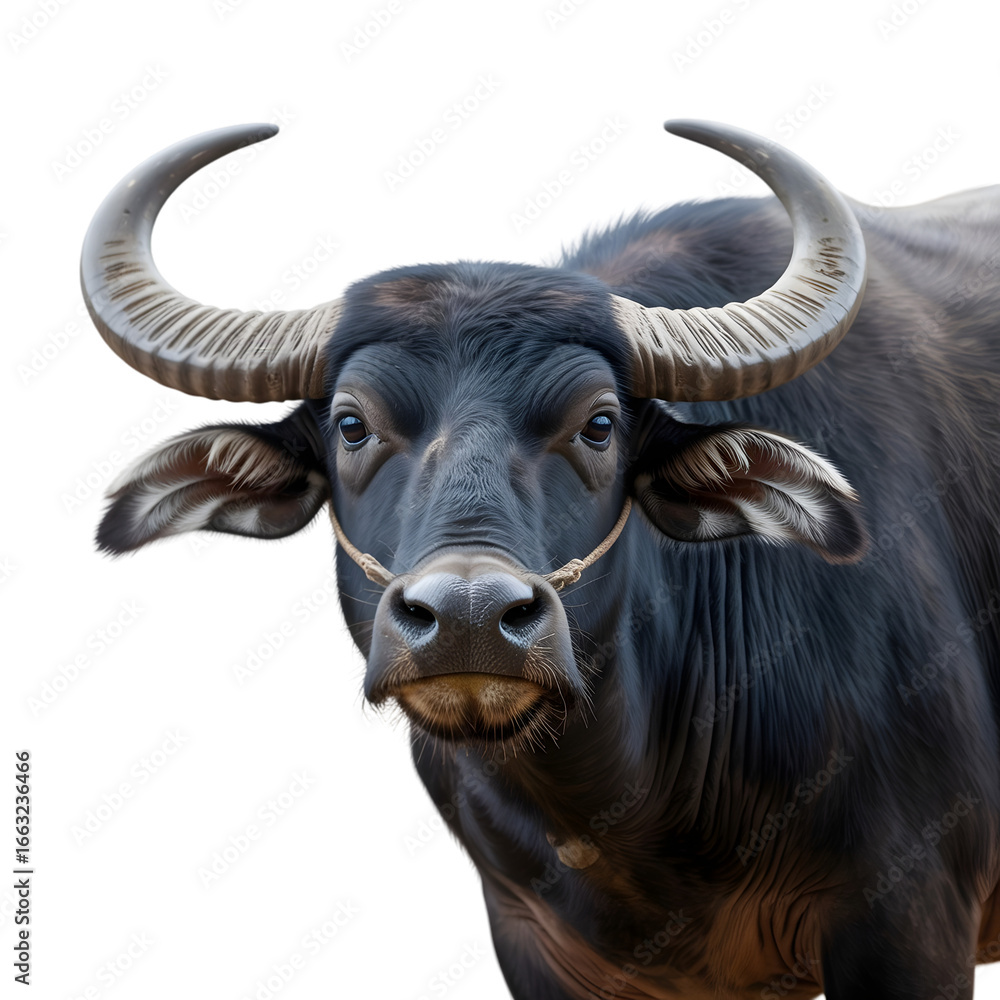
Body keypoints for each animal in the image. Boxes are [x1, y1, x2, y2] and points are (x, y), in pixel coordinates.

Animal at [82, 120, 1000, 999]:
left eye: (598, 425)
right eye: (351, 424)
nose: (469, 620)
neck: (628, 820)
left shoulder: (911, 917)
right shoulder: (534, 940)